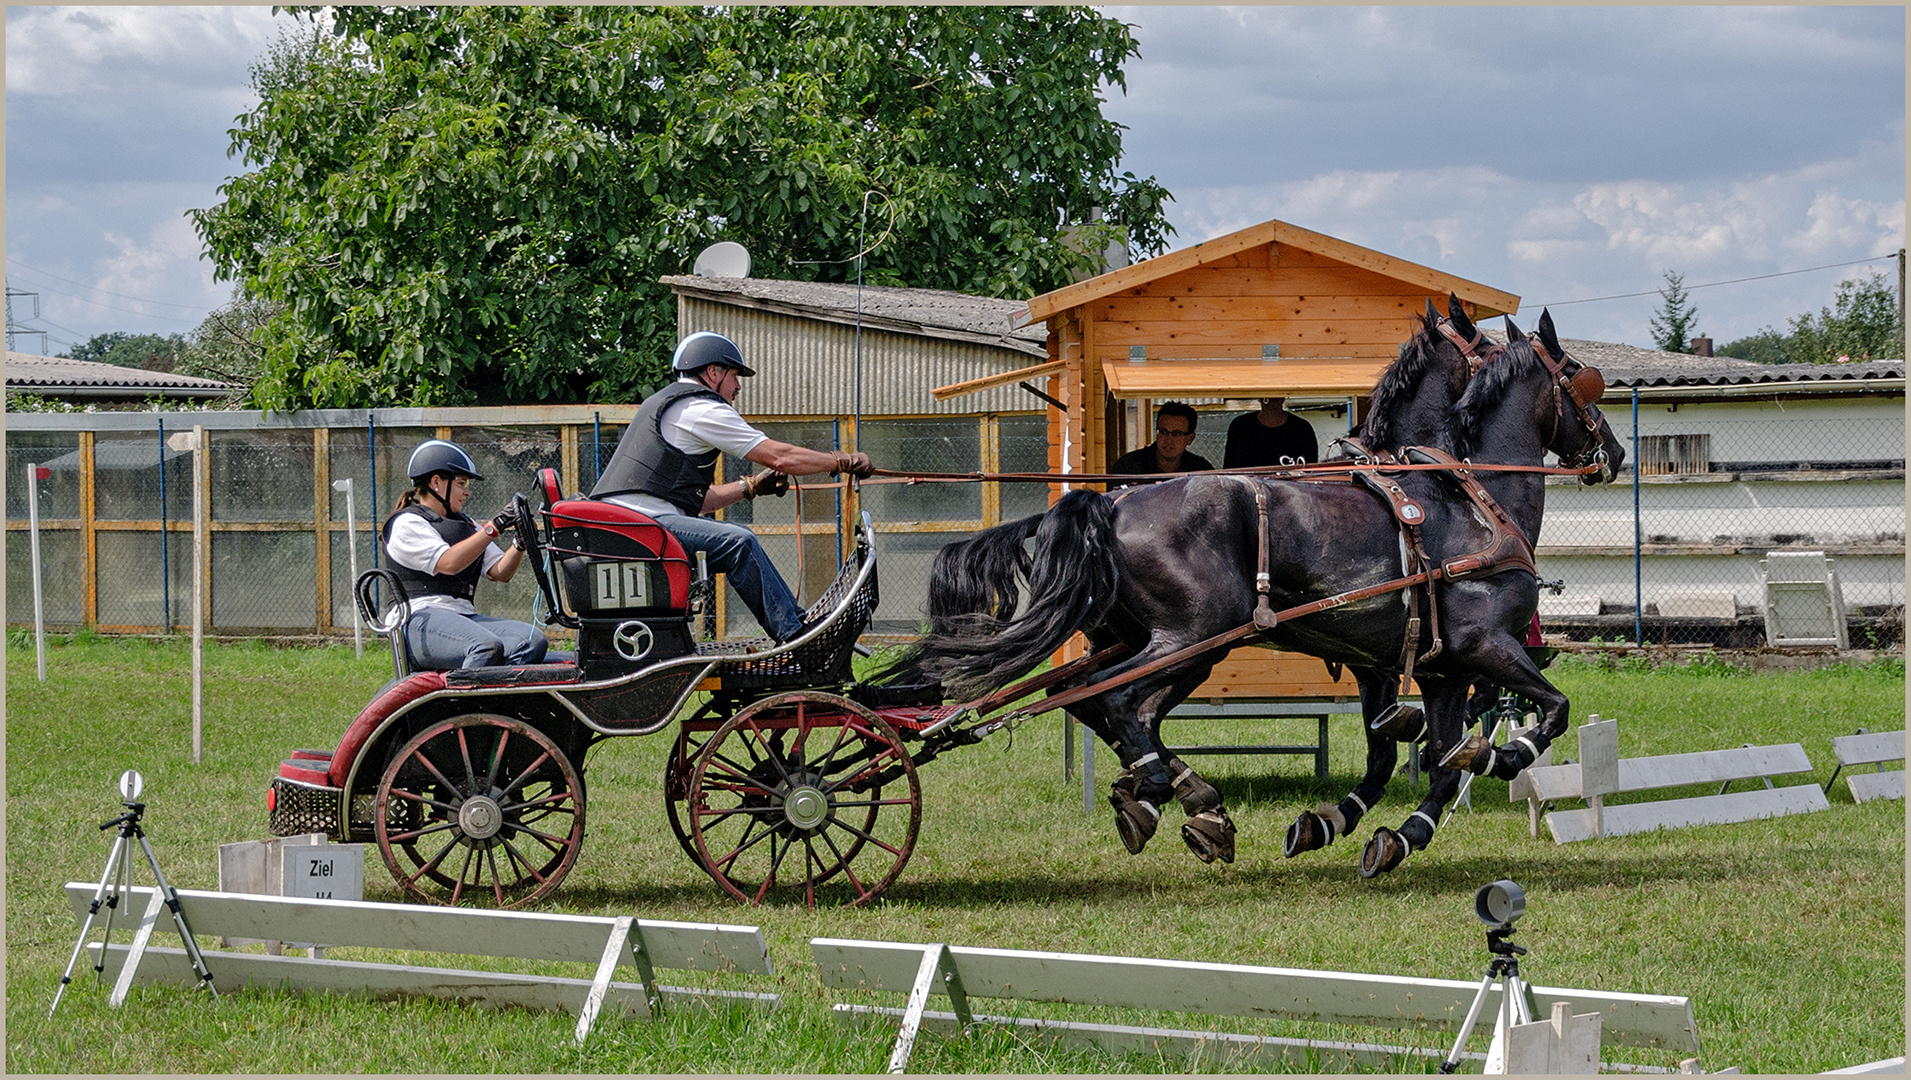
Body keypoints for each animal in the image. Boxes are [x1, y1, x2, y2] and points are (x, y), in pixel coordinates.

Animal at [901, 305, 1620, 875]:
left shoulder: (1432, 669)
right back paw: (1173, 794)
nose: (1611, 453)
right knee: (1113, 702)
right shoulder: (1484, 646)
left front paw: (1381, 831)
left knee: (1100, 704)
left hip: (1160, 645)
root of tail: (1111, 504)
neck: (1472, 496)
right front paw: (1506, 754)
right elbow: (1548, 712)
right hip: (1189, 639)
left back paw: (1173, 798)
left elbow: (1430, 759)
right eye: (1581, 377)